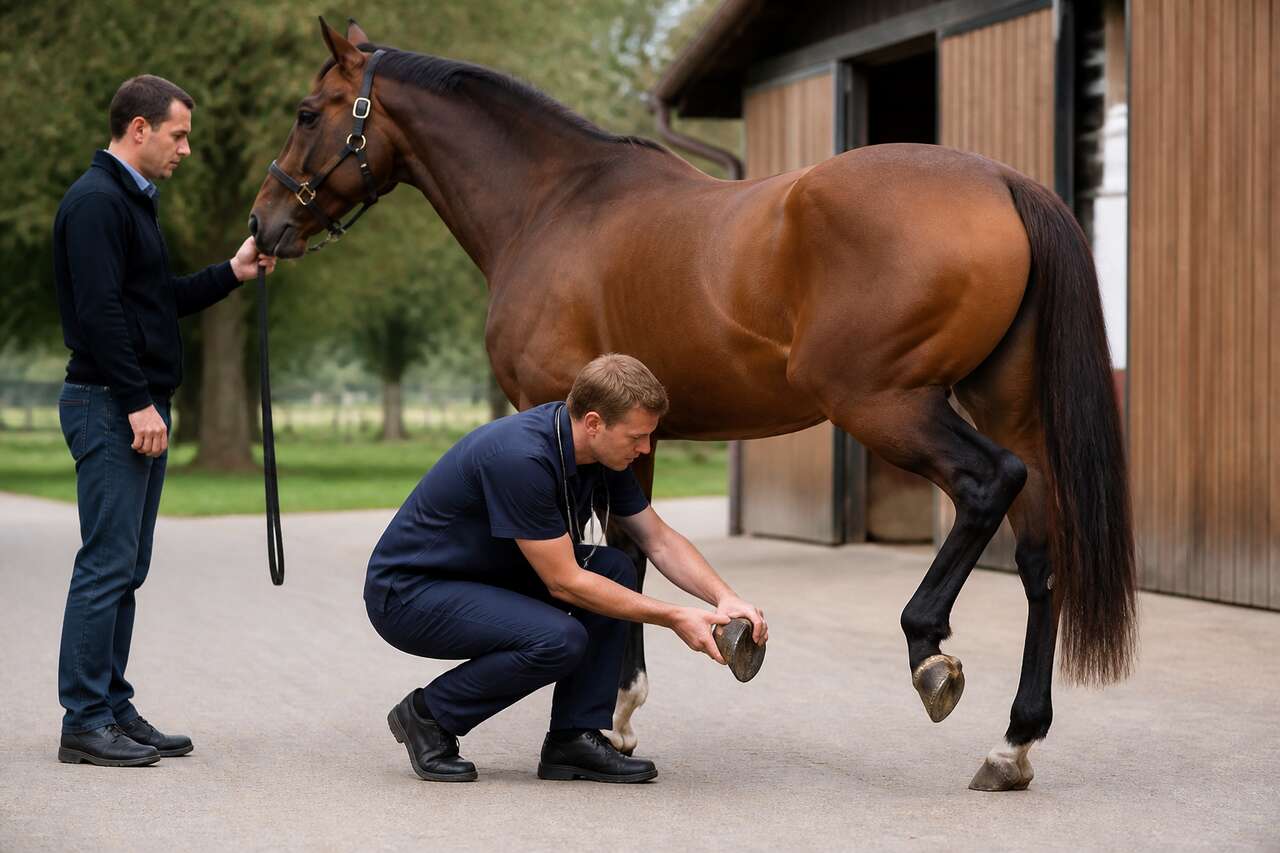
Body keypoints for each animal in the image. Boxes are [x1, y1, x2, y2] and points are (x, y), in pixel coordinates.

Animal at [249, 18, 1137, 791]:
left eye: (306, 112)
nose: (265, 224)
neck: (553, 202)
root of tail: (1002, 180)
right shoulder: (633, 436)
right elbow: (632, 551)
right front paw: (619, 714)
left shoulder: (558, 413)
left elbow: (591, 560)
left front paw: (606, 719)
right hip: (999, 402)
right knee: (1039, 548)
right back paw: (1014, 742)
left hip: (884, 402)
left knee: (990, 485)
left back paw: (929, 653)